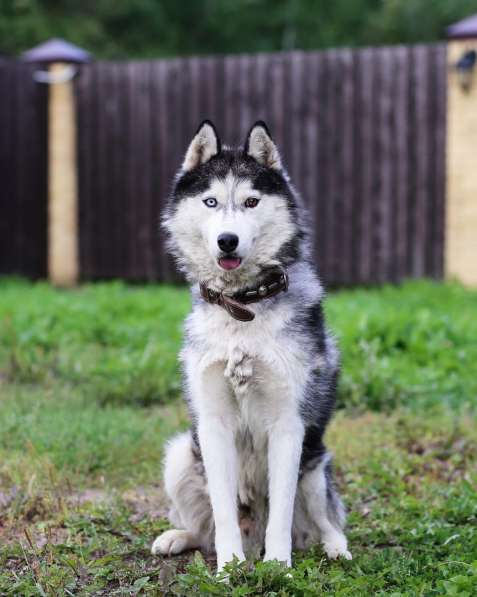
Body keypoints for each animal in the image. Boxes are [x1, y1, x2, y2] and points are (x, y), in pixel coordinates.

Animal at [151, 120, 352, 568]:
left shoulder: (288, 425)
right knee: (204, 531)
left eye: (251, 202)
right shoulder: (212, 424)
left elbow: (280, 513)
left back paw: (335, 547)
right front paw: (228, 569)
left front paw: (278, 569)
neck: (241, 308)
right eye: (210, 201)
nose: (227, 240)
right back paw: (179, 538)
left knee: (324, 520)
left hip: (315, 467)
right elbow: (223, 513)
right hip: (179, 454)